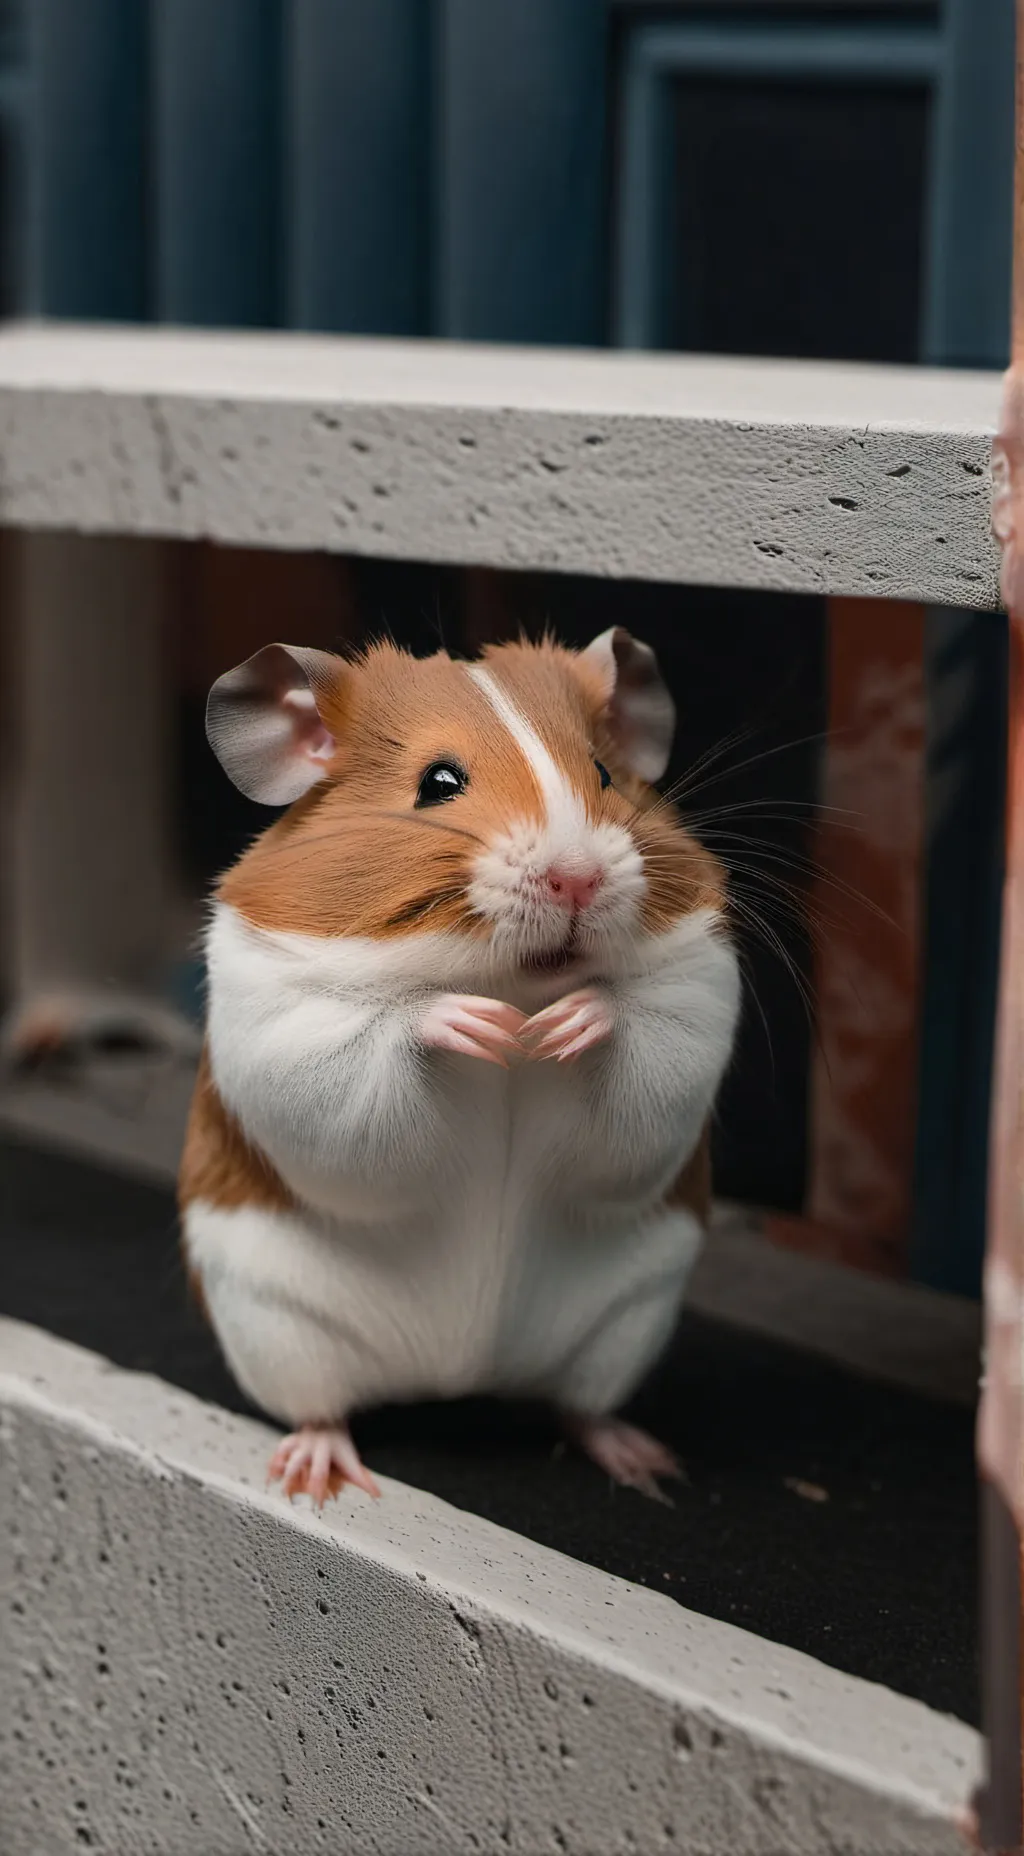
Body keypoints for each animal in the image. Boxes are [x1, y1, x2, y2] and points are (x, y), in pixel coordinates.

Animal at [179, 628, 740, 1505]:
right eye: (439, 783)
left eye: (604, 773)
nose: (577, 877)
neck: (511, 977)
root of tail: (459, 1374)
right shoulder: (292, 1019)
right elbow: (390, 1029)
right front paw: (485, 1028)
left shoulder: (695, 996)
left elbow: (637, 1028)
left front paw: (563, 1026)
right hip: (278, 1330)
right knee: (321, 1408)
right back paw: (314, 1477)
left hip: (623, 1330)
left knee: (579, 1408)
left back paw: (646, 1465)